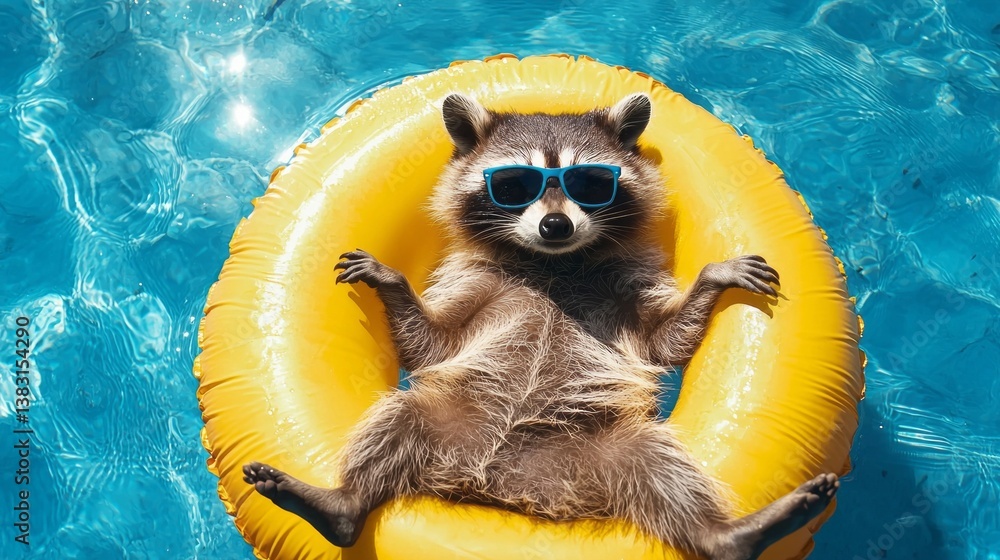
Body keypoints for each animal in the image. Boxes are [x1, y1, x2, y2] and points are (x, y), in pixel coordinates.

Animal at [243, 93, 839, 560]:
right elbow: (430, 347)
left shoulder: (625, 287)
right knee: (397, 418)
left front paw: (713, 279)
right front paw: (392, 282)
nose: (556, 224)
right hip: (448, 422)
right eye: (514, 184)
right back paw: (342, 501)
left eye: (591, 182)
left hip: (604, 449)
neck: (554, 265)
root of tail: (509, 489)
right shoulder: (473, 283)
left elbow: (663, 341)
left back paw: (726, 535)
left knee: (660, 465)